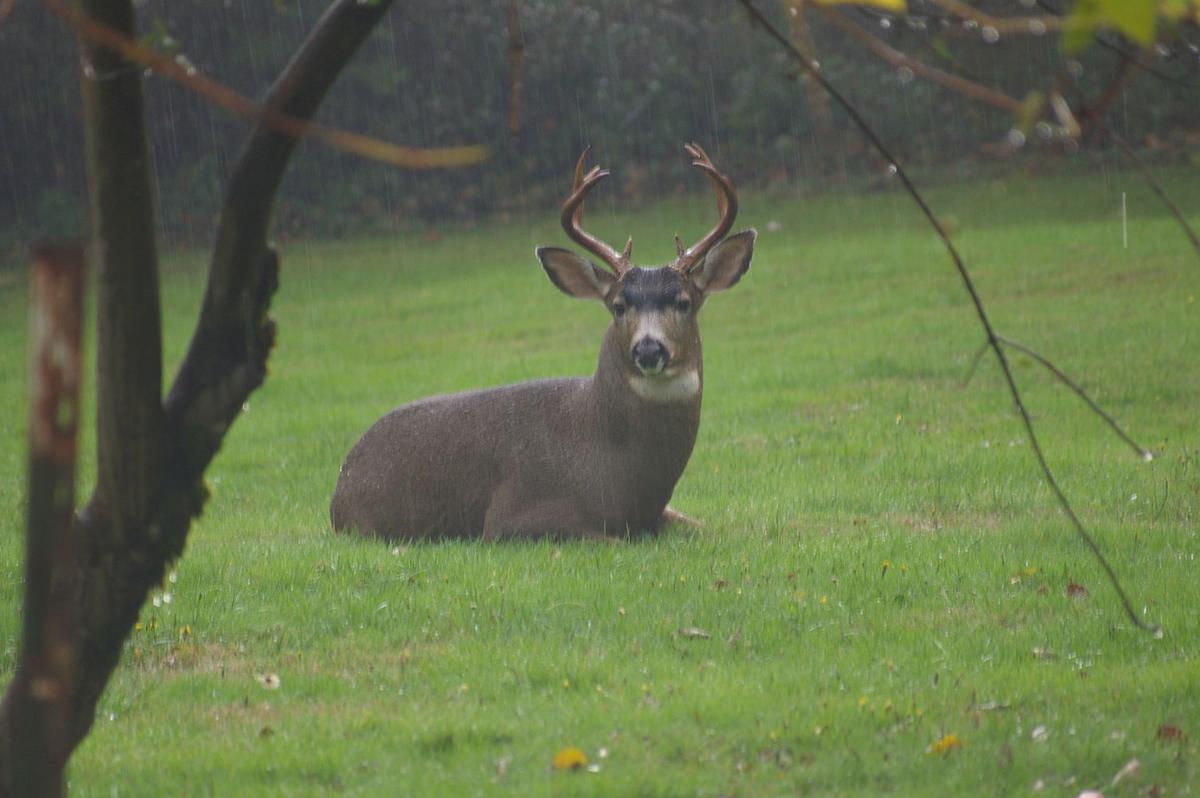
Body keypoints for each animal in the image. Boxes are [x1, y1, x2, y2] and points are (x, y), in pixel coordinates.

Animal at [329, 143, 755, 541]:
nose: (649, 349)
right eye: (619, 305)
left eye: (684, 302)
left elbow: (708, 527)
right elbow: (610, 539)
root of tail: (338, 491)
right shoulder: (512, 515)